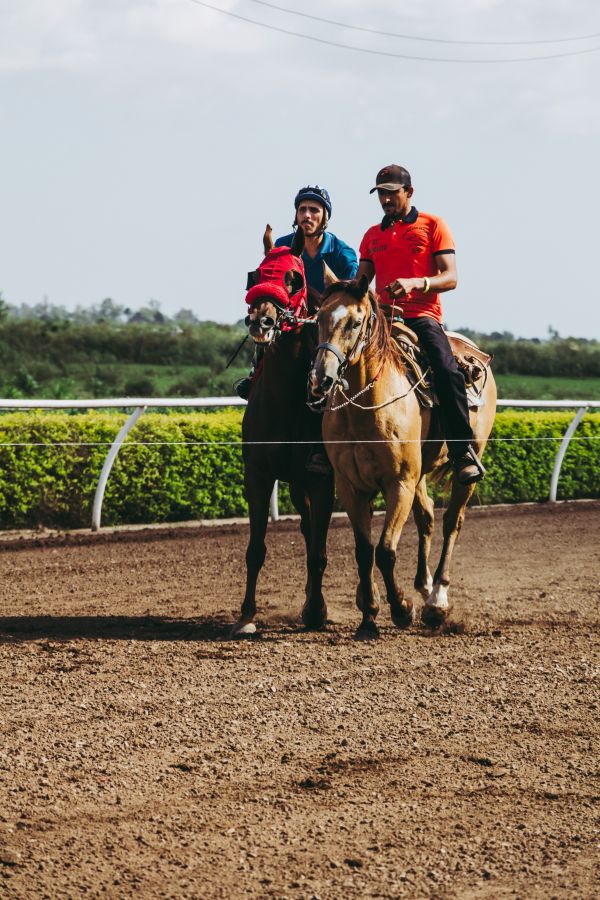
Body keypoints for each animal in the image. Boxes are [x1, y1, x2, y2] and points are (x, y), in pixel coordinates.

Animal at [232, 225, 336, 636]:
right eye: (255, 275)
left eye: (293, 278)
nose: (261, 322)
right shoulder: (259, 475)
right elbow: (256, 549)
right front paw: (246, 616)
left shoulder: (322, 480)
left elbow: (320, 552)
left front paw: (317, 611)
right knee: (307, 531)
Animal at [310, 278, 496, 636]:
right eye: (319, 318)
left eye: (355, 322)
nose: (321, 379)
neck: (365, 406)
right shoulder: (351, 487)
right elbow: (364, 551)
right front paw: (369, 615)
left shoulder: (399, 484)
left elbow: (385, 551)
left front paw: (401, 609)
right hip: (419, 474)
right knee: (427, 518)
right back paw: (424, 586)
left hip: (463, 468)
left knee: (452, 522)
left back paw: (437, 600)